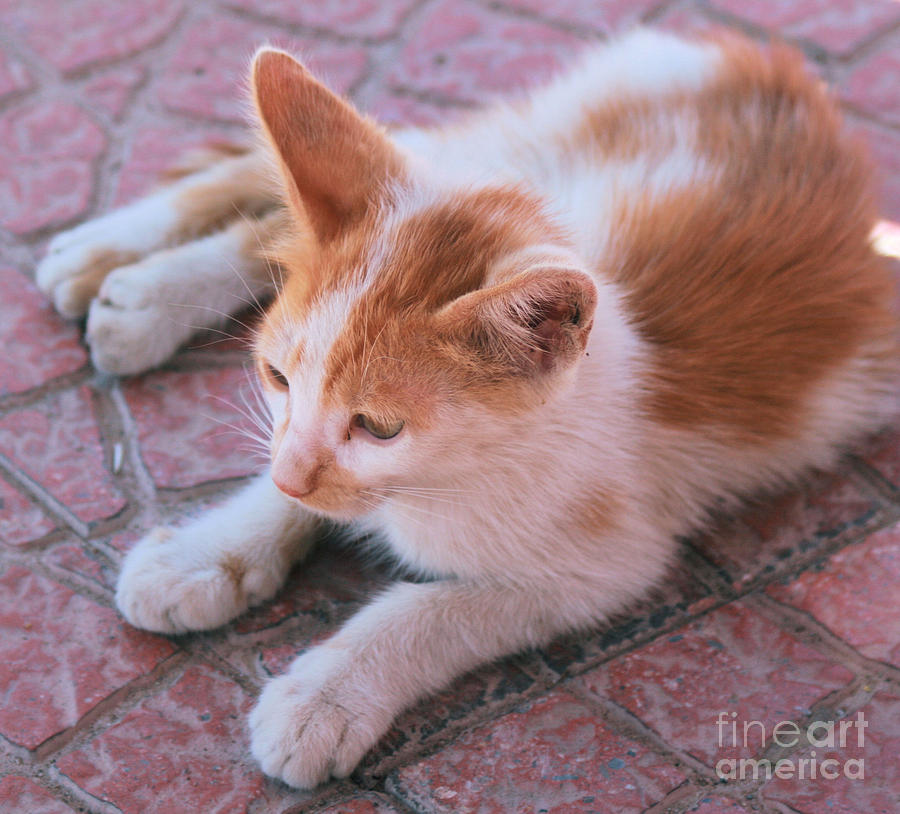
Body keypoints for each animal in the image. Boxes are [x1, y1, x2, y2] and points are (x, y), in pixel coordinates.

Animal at [37, 31, 900, 792]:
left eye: (380, 427)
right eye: (277, 376)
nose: (289, 476)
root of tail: (786, 79)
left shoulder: (609, 564)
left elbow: (434, 608)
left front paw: (324, 695)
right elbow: (301, 486)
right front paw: (207, 550)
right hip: (511, 152)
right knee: (319, 175)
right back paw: (119, 265)